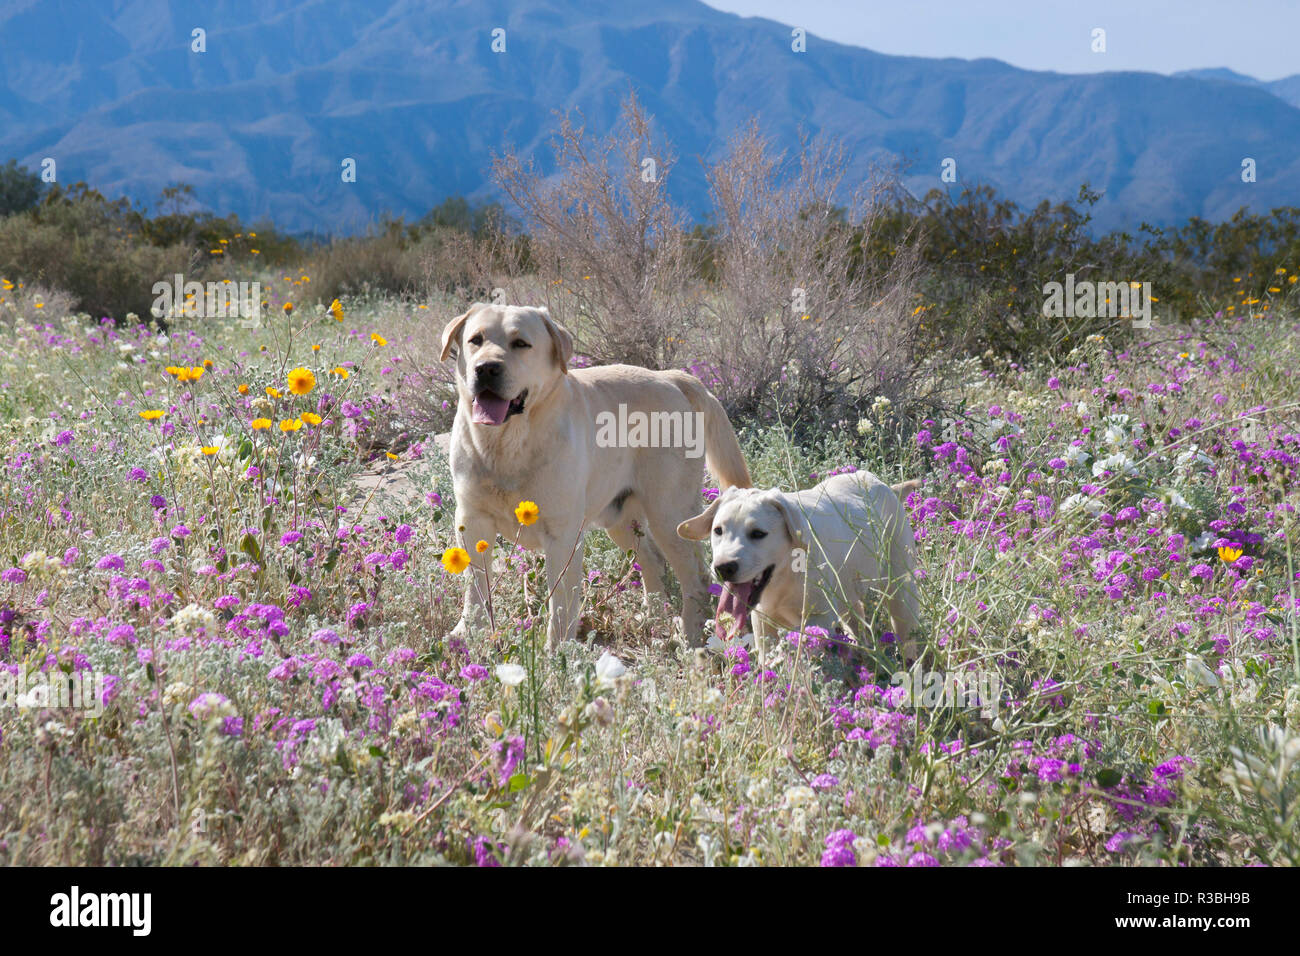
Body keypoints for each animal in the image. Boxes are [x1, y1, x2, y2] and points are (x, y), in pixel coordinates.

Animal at [439, 304, 754, 650]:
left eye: (520, 343)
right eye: (475, 340)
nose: (486, 369)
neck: (506, 444)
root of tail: (671, 376)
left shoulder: (562, 534)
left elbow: (561, 600)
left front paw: (557, 650)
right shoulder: (472, 522)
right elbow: (475, 588)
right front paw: (468, 634)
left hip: (669, 515)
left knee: (696, 576)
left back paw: (690, 637)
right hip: (620, 519)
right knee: (653, 561)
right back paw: (654, 621)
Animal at [676, 470, 920, 665]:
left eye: (758, 534)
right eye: (718, 531)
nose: (723, 567)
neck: (784, 578)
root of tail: (882, 485)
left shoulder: (818, 621)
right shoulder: (762, 620)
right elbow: (768, 657)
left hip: (901, 592)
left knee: (905, 631)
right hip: (847, 596)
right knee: (856, 620)